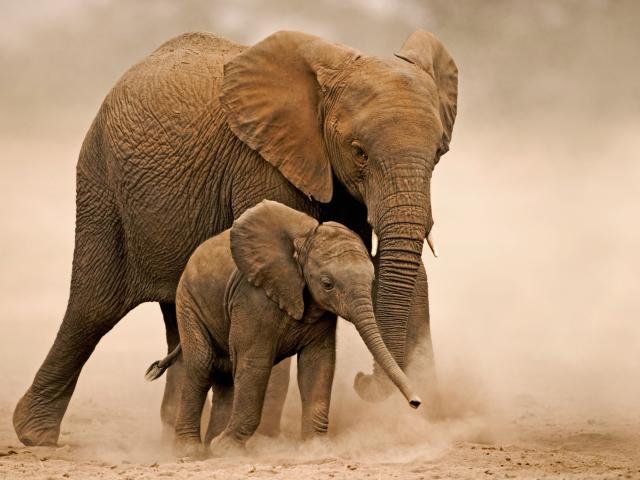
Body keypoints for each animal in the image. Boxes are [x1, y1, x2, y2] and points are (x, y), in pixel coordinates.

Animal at [145, 200, 421, 456]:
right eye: (327, 284)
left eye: (372, 280)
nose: (416, 402)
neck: (302, 244)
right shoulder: (253, 298)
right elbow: (255, 365)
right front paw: (227, 448)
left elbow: (318, 364)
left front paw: (317, 449)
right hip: (188, 302)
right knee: (202, 365)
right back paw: (191, 451)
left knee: (224, 374)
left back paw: (209, 445)